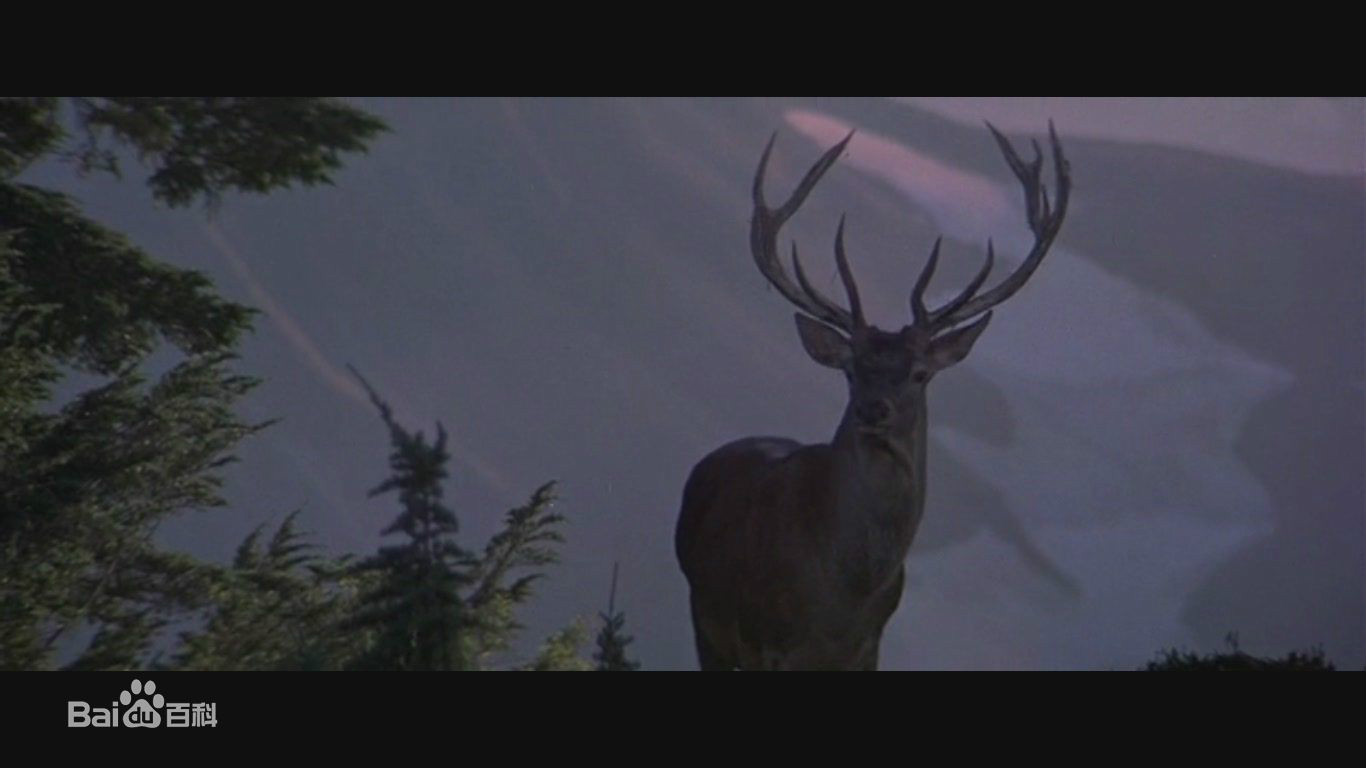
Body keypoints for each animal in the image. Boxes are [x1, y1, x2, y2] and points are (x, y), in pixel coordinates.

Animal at [674, 121, 1070, 670]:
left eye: (920, 373)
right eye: (850, 370)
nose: (873, 408)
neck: (848, 591)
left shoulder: (870, 645)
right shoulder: (769, 638)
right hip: (706, 618)